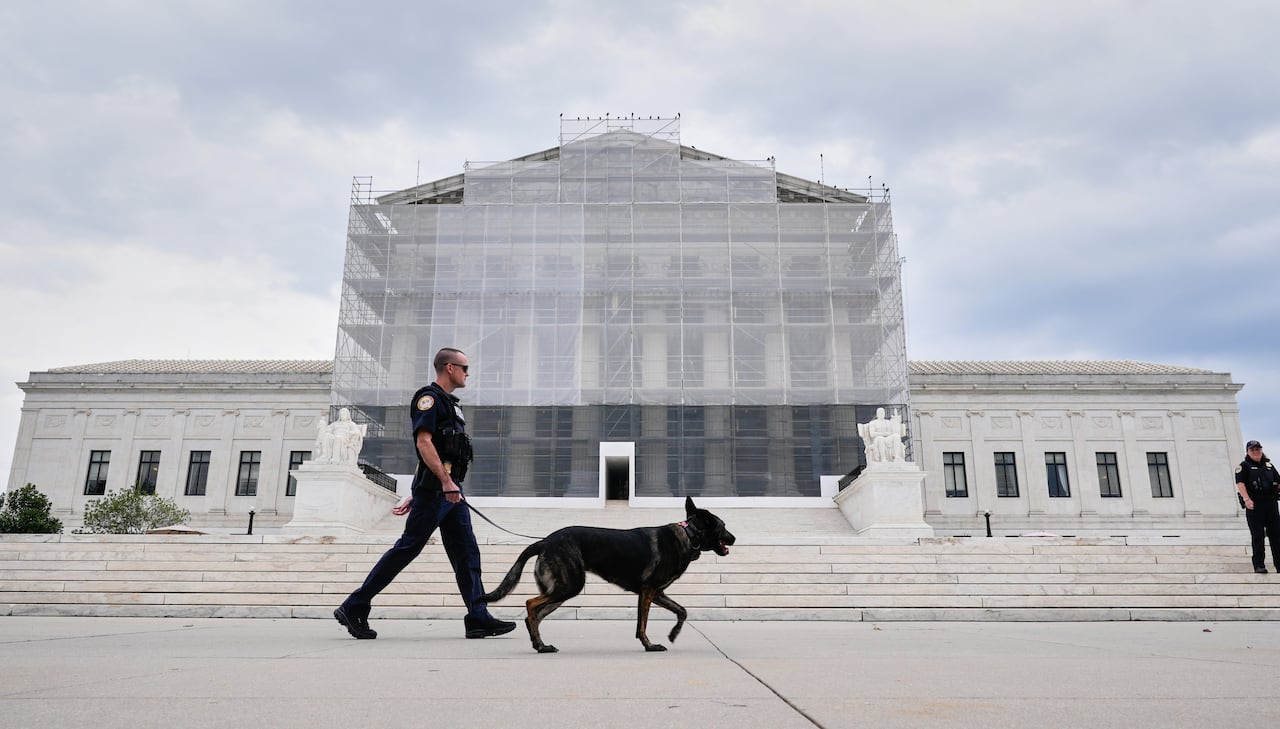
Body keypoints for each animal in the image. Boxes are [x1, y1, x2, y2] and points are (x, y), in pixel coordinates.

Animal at [479, 496, 735, 653]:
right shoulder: (648, 591)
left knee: (534, 616)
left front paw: (673, 634)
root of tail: (544, 542)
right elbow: (642, 624)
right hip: (569, 586)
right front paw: (649, 645)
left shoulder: (657, 593)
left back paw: (540, 645)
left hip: (560, 591)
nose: (734, 538)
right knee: (531, 605)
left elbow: (682, 611)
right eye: (723, 526)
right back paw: (540, 646)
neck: (690, 535)